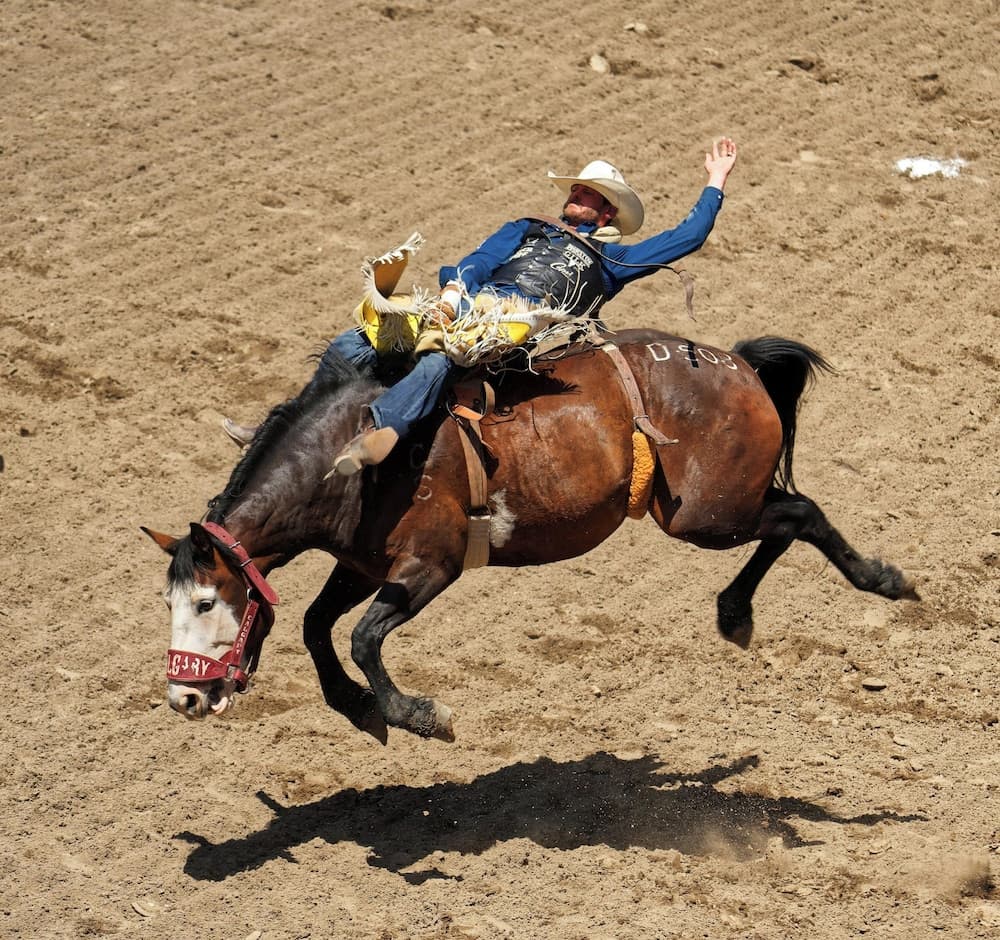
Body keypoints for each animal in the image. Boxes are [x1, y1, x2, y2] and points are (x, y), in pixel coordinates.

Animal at [143, 329, 918, 744]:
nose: (183, 700)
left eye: (207, 602)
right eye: (169, 605)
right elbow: (314, 625)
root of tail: (738, 364)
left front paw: (419, 714)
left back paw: (872, 582)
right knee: (789, 517)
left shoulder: (430, 564)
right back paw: (739, 613)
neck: (357, 454)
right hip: (713, 512)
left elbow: (362, 637)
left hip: (706, 516)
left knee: (802, 514)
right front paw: (358, 708)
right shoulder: (362, 565)